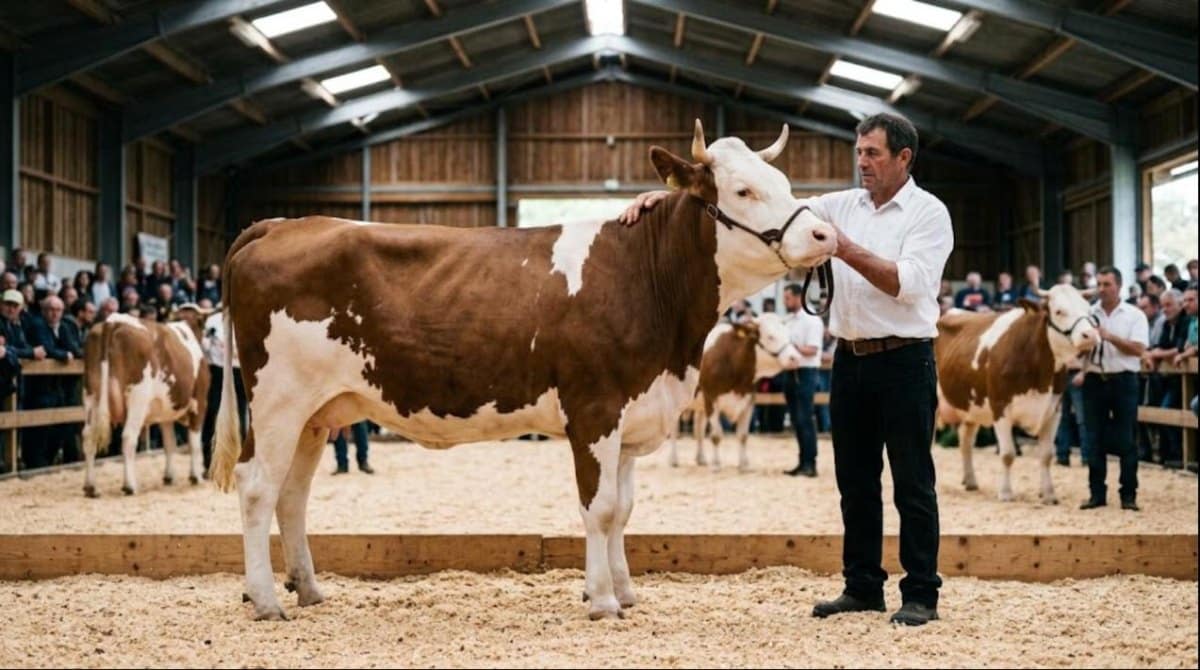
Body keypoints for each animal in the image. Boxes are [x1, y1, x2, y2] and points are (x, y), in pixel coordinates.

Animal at [80, 306, 214, 497]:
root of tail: (114, 320)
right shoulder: (200, 401)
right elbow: (194, 442)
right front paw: (195, 476)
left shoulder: (166, 412)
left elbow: (169, 443)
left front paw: (169, 477)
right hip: (138, 397)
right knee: (128, 437)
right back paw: (130, 486)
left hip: (91, 396)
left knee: (88, 436)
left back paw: (91, 487)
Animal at [668, 312, 801, 471]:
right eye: (770, 336)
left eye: (788, 334)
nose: (795, 358)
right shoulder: (711, 398)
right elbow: (716, 435)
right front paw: (716, 464)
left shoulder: (749, 400)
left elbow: (743, 436)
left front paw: (743, 465)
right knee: (674, 429)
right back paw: (673, 460)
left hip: (700, 403)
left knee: (698, 429)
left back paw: (701, 459)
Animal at [934, 285, 1098, 503]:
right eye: (1058, 311)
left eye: (1088, 310)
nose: (1090, 335)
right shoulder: (1000, 406)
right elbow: (1008, 454)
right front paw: (1005, 493)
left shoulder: (1054, 410)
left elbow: (1046, 455)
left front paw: (1048, 494)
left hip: (971, 404)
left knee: (965, 440)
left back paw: (970, 481)